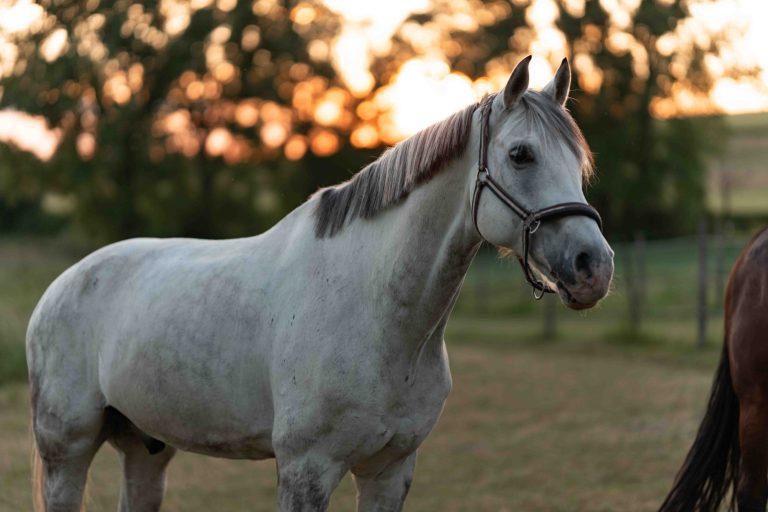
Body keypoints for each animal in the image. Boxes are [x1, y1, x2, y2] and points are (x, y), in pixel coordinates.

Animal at [27, 56, 613, 512]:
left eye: (578, 160)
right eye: (521, 154)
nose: (594, 266)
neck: (377, 316)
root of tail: (60, 287)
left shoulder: (390, 470)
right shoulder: (306, 470)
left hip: (146, 448)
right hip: (67, 451)